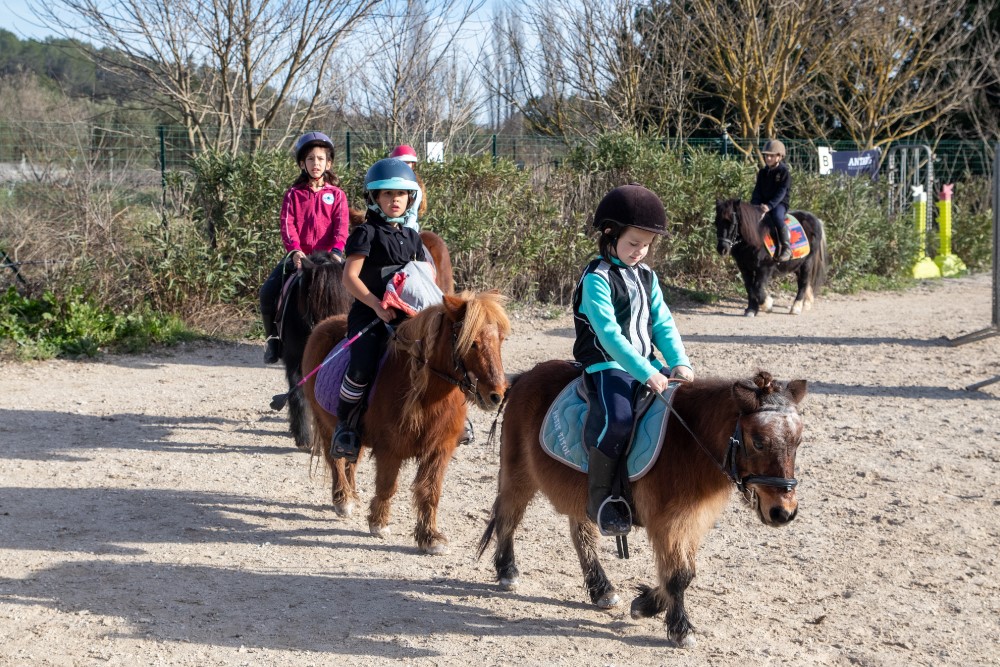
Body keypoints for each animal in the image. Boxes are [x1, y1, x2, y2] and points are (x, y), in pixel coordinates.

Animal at [302, 290, 508, 552]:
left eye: (500, 340)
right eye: (471, 343)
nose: (496, 395)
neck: (427, 395)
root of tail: (323, 325)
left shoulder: (440, 450)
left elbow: (430, 492)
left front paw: (430, 537)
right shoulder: (390, 449)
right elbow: (387, 485)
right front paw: (379, 523)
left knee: (351, 462)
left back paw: (353, 496)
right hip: (325, 424)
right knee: (335, 461)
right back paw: (343, 499)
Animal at [476, 360, 804, 648]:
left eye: (798, 441)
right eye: (758, 441)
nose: (783, 512)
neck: (688, 439)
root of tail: (524, 377)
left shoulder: (691, 519)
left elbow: (685, 572)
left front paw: (645, 604)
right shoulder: (669, 521)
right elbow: (678, 575)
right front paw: (680, 629)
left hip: (579, 493)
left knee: (582, 537)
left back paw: (601, 589)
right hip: (518, 474)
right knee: (507, 517)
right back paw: (507, 571)